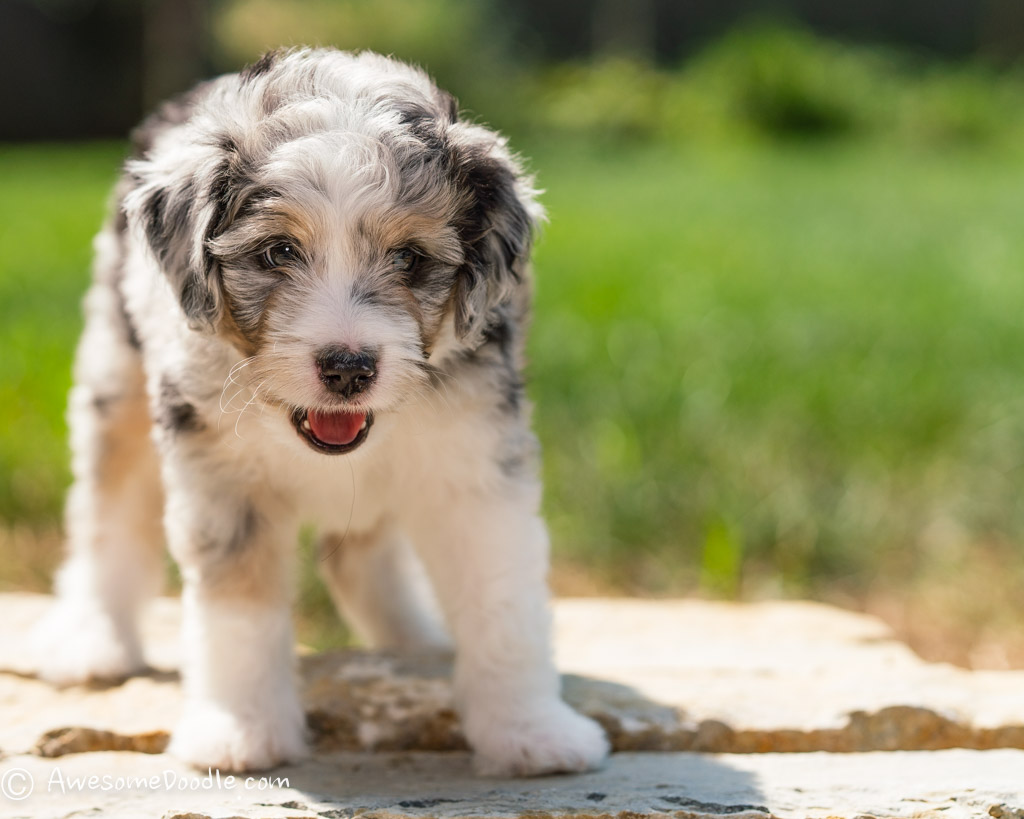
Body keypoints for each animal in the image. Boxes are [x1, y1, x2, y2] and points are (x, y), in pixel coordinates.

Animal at [36, 48, 606, 778]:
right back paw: (92, 641)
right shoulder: (220, 478)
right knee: (108, 518)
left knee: (361, 555)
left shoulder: (477, 465)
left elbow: (502, 600)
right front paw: (240, 732)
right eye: (278, 252)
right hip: (116, 378)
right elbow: (239, 613)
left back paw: (414, 641)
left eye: (409, 258)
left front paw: (531, 732)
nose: (348, 367)